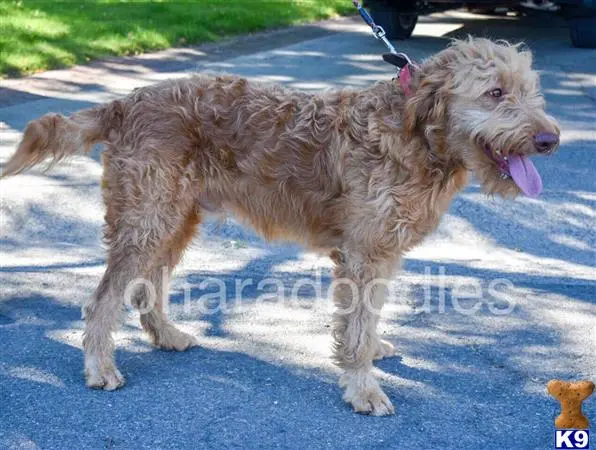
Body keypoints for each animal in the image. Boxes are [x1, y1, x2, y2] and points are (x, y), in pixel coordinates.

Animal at [0, 37, 560, 414]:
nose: (551, 140)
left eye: (530, 91)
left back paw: (167, 335)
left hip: (174, 220)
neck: (416, 137)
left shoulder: (379, 253)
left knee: (146, 288)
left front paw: (371, 353)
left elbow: (367, 318)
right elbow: (356, 327)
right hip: (147, 219)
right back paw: (100, 367)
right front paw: (363, 387)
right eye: (495, 92)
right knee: (103, 299)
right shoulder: (363, 254)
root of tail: (125, 102)